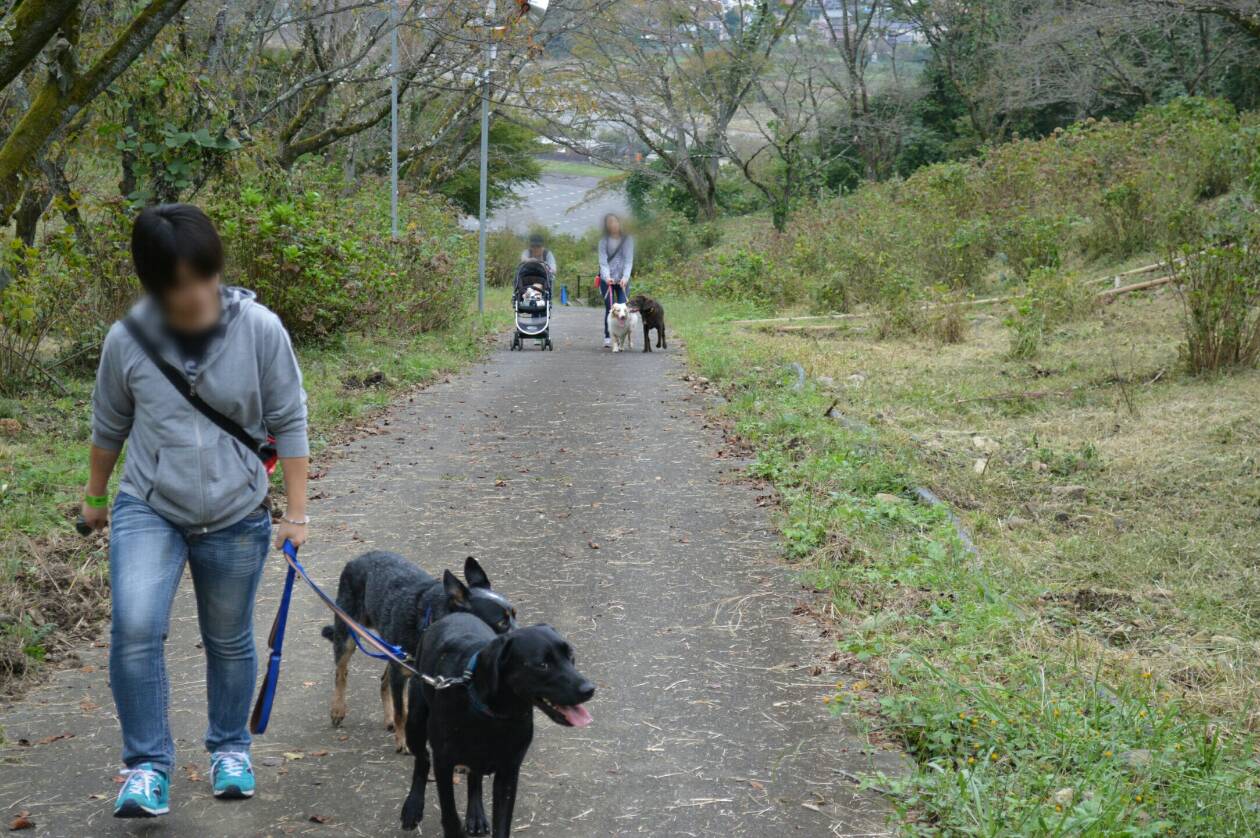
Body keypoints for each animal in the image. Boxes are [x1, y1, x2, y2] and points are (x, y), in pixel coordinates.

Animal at [327, 551, 519, 746]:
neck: (430, 622)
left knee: (383, 680)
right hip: (348, 633)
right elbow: (401, 712)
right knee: (341, 672)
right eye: (502, 622)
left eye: (514, 614)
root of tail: (360, 557)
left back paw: (388, 718)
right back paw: (338, 709)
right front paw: (403, 741)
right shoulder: (401, 674)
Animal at [403, 612, 599, 831]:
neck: (493, 716)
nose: (589, 689)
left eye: (570, 655)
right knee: (423, 759)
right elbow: (450, 818)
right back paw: (413, 806)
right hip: (415, 723)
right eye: (542, 665)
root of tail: (453, 614)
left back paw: (476, 815)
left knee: (474, 777)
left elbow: (502, 823)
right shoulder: (444, 766)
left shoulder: (508, 772)